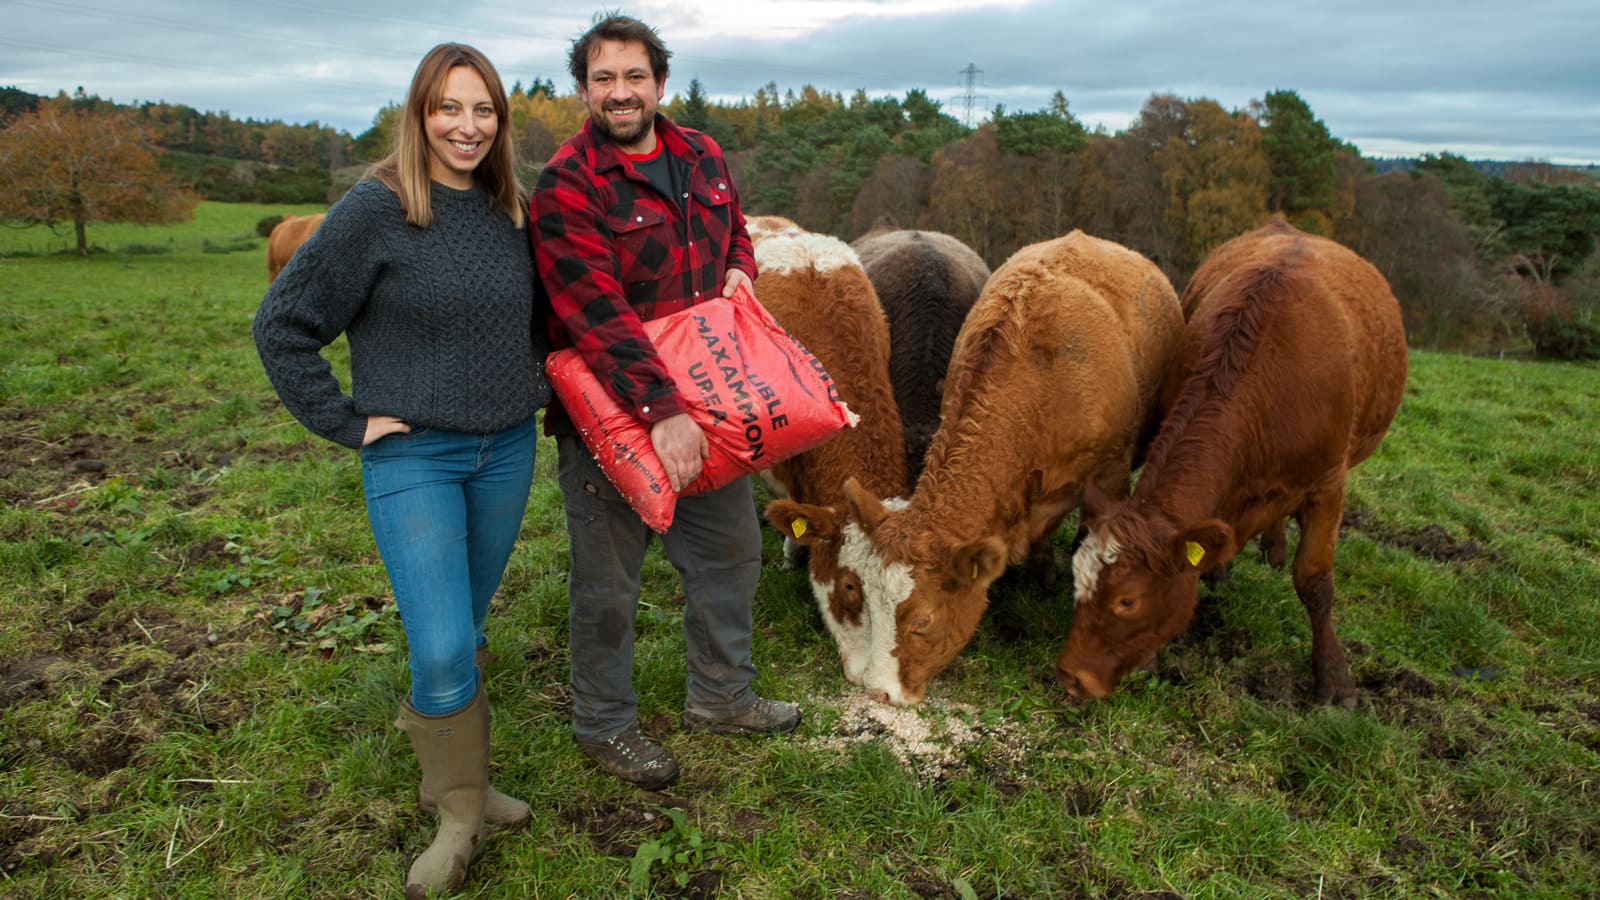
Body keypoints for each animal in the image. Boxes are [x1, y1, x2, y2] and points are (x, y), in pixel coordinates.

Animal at [1056, 219, 1408, 707]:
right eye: (1076, 582)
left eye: (1127, 600)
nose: (1071, 676)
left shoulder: (1327, 485)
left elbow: (1316, 583)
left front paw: (1334, 680)